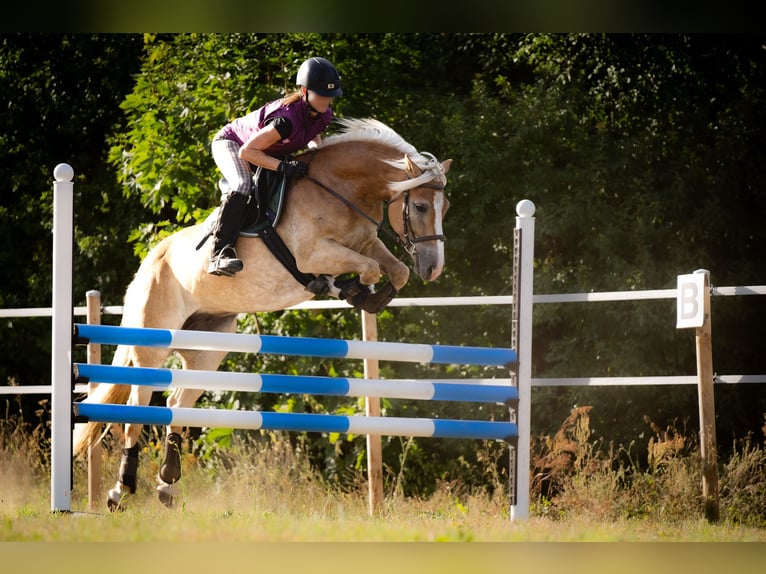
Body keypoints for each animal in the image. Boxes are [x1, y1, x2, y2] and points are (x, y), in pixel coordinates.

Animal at [72, 115, 452, 510]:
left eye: (445, 208)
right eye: (421, 207)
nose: (434, 268)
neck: (341, 188)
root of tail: (149, 261)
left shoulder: (366, 243)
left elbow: (395, 270)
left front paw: (364, 296)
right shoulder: (315, 254)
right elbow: (369, 270)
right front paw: (346, 289)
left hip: (207, 346)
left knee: (178, 401)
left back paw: (167, 484)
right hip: (151, 342)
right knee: (139, 406)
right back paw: (120, 490)